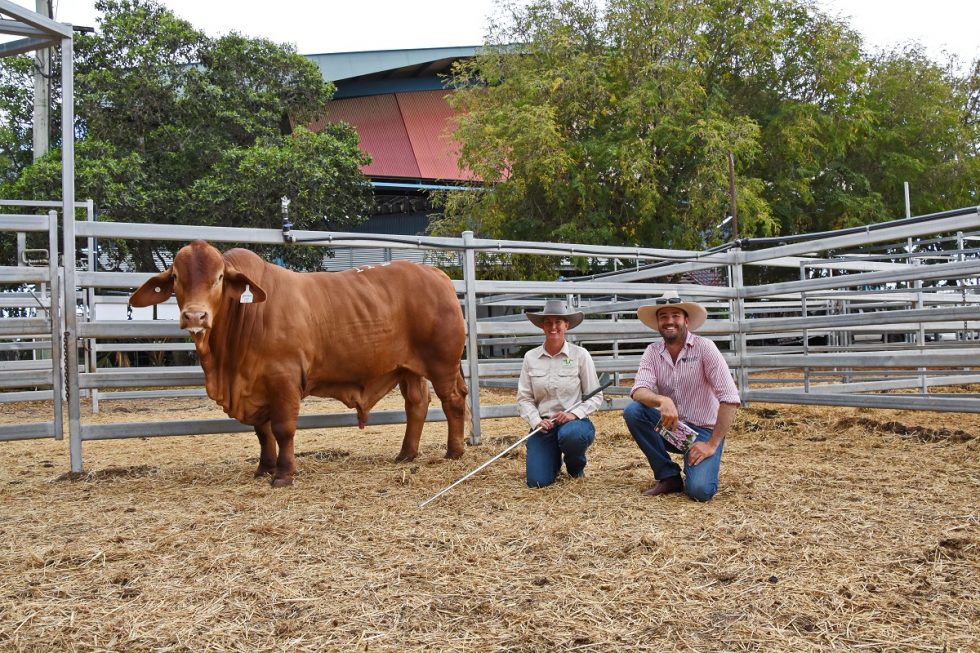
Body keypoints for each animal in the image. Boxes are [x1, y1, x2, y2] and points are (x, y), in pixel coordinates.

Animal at [129, 239, 468, 484]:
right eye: (176, 277)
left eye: (220, 278)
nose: (195, 316)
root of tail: (435, 274)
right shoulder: (256, 385)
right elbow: (262, 432)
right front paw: (263, 468)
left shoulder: (284, 381)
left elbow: (282, 429)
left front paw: (283, 474)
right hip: (407, 369)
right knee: (417, 404)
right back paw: (406, 454)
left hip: (442, 364)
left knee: (452, 400)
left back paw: (454, 451)